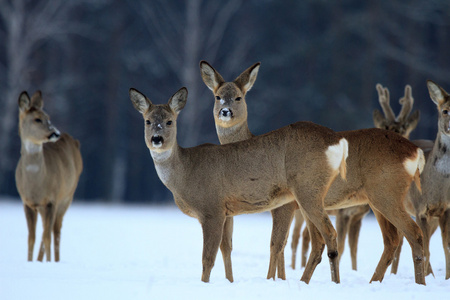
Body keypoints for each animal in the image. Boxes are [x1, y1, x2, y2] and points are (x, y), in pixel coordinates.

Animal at [15, 90, 82, 262]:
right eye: (37, 119)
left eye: (48, 117)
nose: (55, 133)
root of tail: (74, 141)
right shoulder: (27, 202)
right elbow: (31, 237)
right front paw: (30, 261)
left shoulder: (52, 200)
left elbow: (47, 237)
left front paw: (49, 262)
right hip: (46, 206)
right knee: (48, 229)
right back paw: (40, 259)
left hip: (67, 196)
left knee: (55, 230)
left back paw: (55, 260)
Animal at [129, 86, 348, 284]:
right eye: (147, 121)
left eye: (169, 121)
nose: (156, 139)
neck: (186, 172)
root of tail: (338, 140)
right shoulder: (227, 211)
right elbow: (227, 249)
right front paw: (229, 281)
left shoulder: (211, 209)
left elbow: (207, 258)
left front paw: (204, 284)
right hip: (307, 196)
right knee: (318, 240)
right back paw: (305, 281)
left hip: (308, 188)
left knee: (329, 234)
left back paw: (333, 283)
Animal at [200, 60, 426, 284]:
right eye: (217, 96)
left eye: (239, 97)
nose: (225, 112)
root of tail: (416, 151)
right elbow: (288, 245)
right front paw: (282, 279)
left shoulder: (286, 204)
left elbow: (276, 244)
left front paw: (273, 280)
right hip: (374, 200)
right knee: (391, 240)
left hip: (383, 192)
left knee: (413, 233)